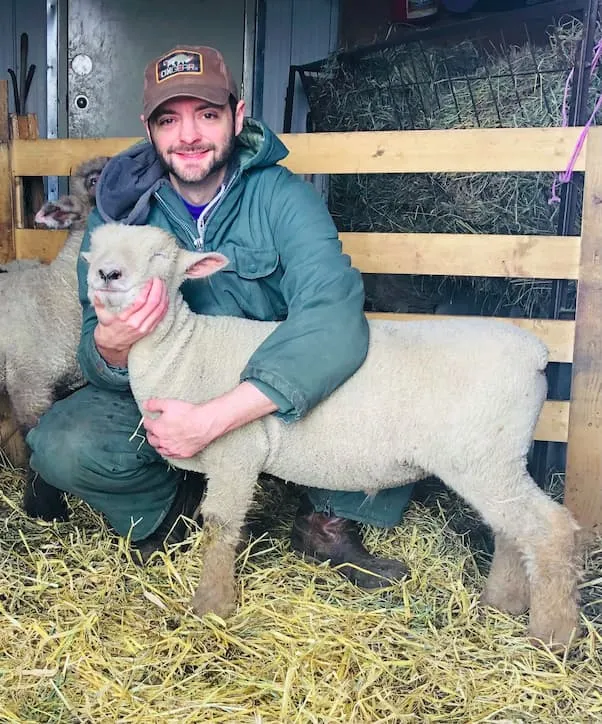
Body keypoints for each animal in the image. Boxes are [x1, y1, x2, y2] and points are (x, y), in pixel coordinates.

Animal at [83, 222, 582, 646]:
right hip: (494, 458)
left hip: (483, 455)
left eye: (160, 255)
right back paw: (503, 603)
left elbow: (221, 526)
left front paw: (212, 606)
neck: (185, 351)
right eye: (95, 250)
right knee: (512, 527)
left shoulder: (236, 450)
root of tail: (535, 351)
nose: (107, 274)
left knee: (548, 529)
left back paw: (553, 635)